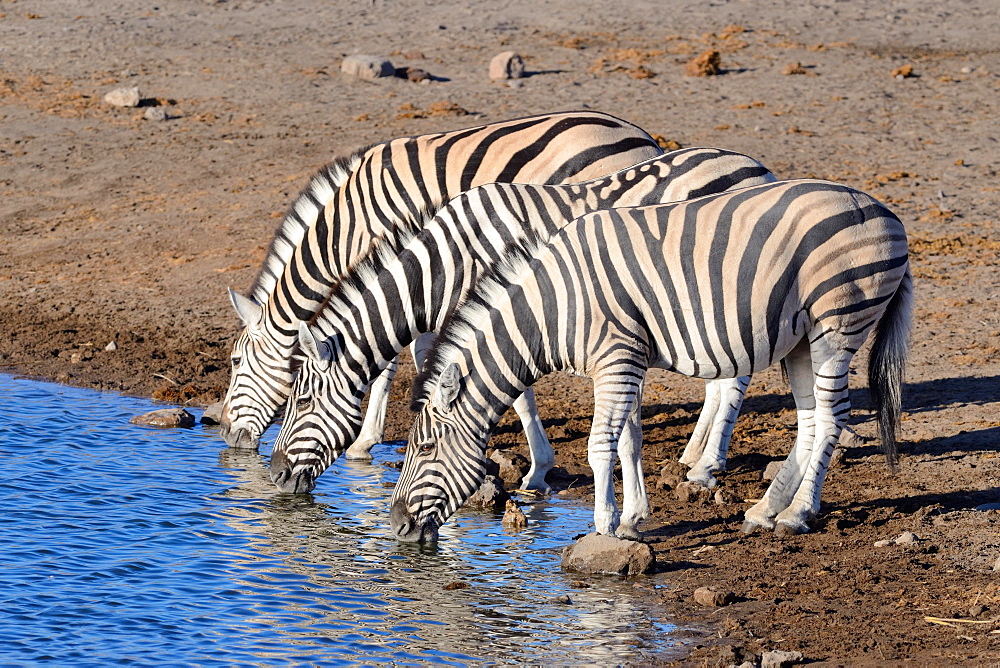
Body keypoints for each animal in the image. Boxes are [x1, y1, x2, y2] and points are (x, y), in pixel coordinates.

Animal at [217, 112, 664, 454]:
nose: (225, 436)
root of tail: (643, 137)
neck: (348, 226)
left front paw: (366, 440)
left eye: (236, 362)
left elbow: (391, 361)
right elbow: (419, 350)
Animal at [266, 145, 772, 516]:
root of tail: (756, 166)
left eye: (301, 401)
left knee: (735, 378)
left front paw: (533, 470)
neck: (445, 266)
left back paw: (707, 465)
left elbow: (514, 395)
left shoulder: (504, 311)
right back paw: (694, 455)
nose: (274, 475)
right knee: (721, 375)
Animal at [392, 179, 916, 544]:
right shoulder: (626, 362)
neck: (556, 307)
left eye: (423, 449)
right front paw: (632, 518)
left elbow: (600, 445)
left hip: (837, 327)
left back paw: (798, 515)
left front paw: (604, 523)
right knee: (810, 420)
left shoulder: (617, 357)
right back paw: (766, 510)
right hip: (804, 339)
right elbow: (629, 440)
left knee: (830, 419)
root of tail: (887, 212)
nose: (396, 525)